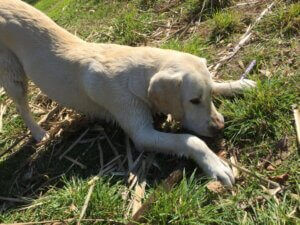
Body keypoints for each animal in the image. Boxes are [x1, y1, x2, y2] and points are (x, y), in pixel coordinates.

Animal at [1, 0, 256, 186]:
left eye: (208, 95)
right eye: (193, 101)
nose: (219, 127)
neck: (137, 76)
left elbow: (218, 83)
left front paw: (238, 84)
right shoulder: (142, 134)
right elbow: (190, 140)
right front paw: (215, 164)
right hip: (13, 76)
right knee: (22, 106)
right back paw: (39, 133)